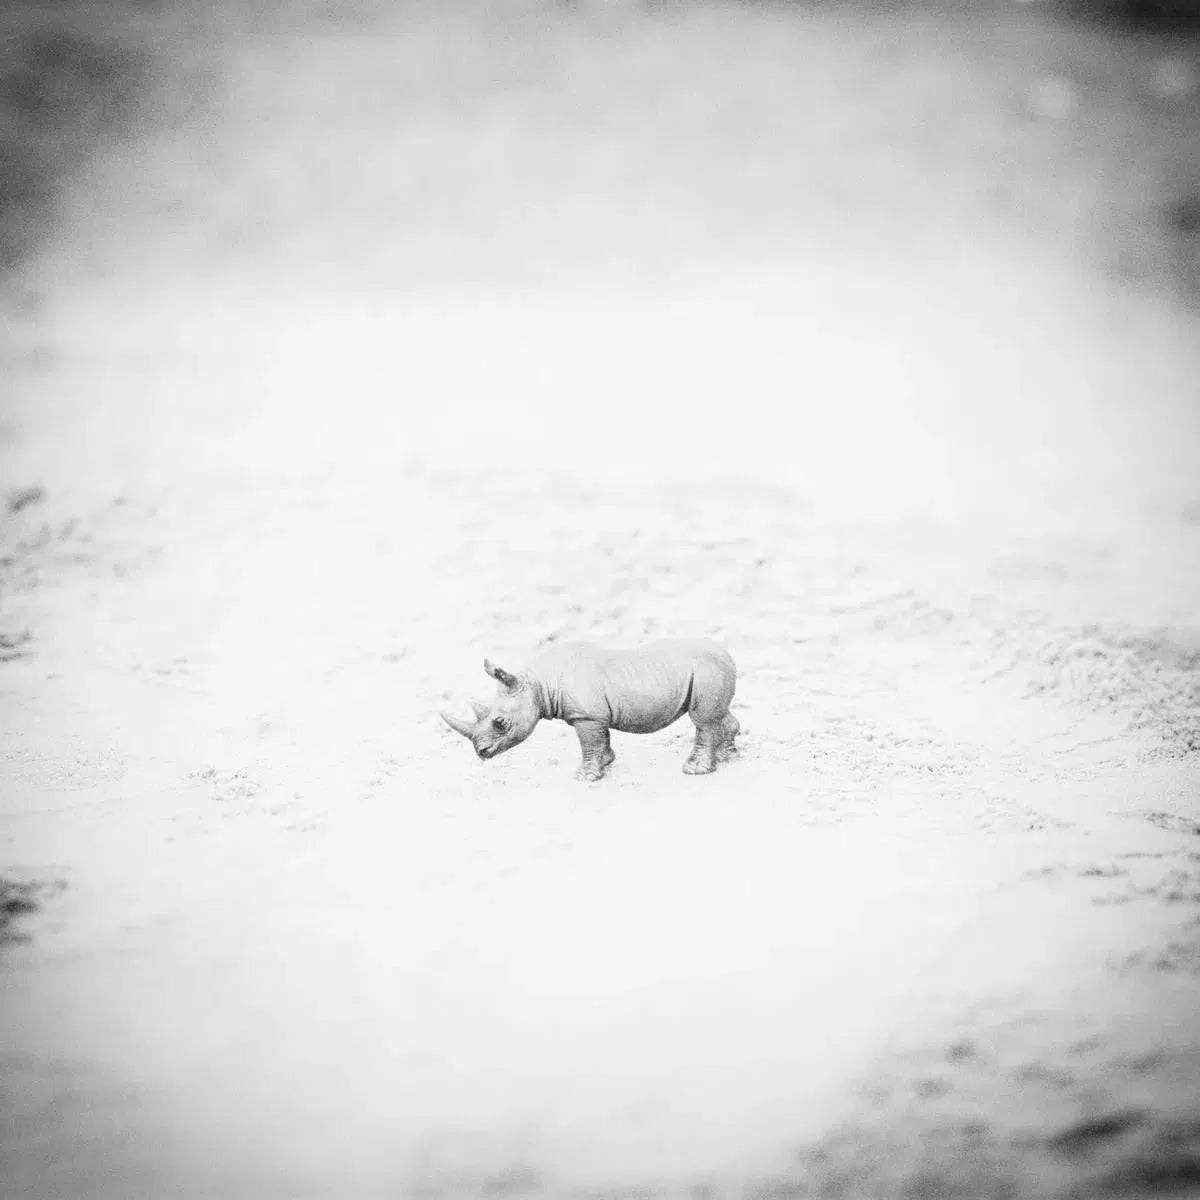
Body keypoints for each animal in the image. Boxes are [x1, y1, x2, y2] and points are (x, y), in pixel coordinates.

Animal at [440, 638, 739, 781]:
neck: (538, 683)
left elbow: (589, 743)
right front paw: (605, 763)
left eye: (500, 722)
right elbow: (600, 740)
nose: (482, 753)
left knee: (702, 720)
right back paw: (727, 757)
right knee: (718, 714)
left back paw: (695, 770)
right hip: (710, 670)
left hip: (706, 669)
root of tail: (729, 654)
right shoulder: (594, 714)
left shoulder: (586, 715)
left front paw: (585, 777)